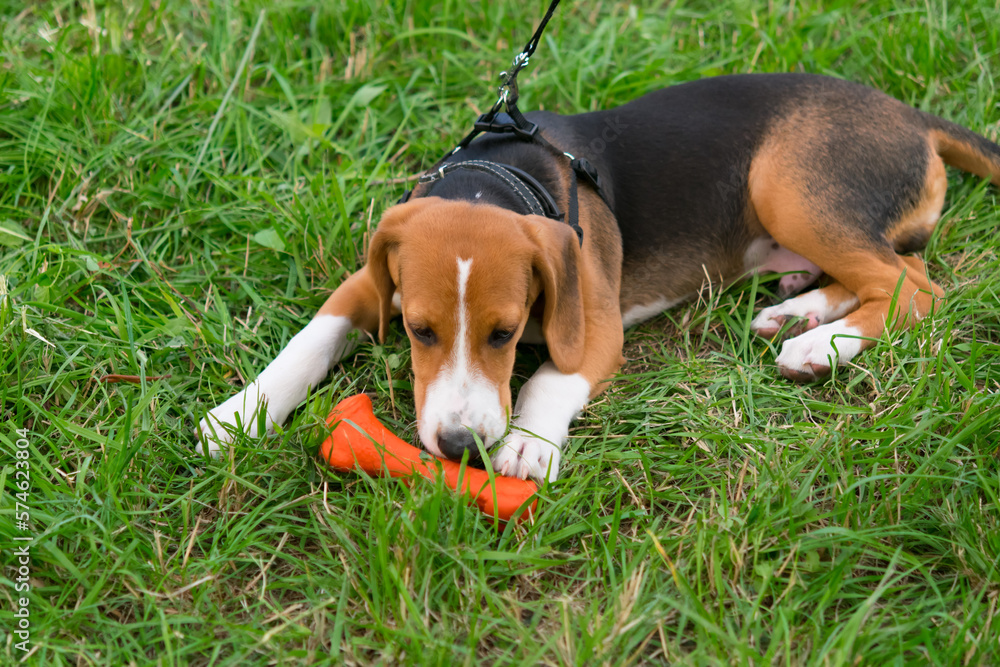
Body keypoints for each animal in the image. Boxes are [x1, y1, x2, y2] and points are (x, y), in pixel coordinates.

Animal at [197, 74, 1000, 480]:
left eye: (506, 334)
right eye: (420, 331)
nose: (461, 448)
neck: (492, 183)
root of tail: (909, 114)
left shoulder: (595, 320)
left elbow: (551, 377)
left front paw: (528, 442)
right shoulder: (368, 284)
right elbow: (311, 337)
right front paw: (240, 413)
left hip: (788, 184)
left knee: (915, 287)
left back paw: (817, 346)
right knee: (899, 264)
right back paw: (799, 314)